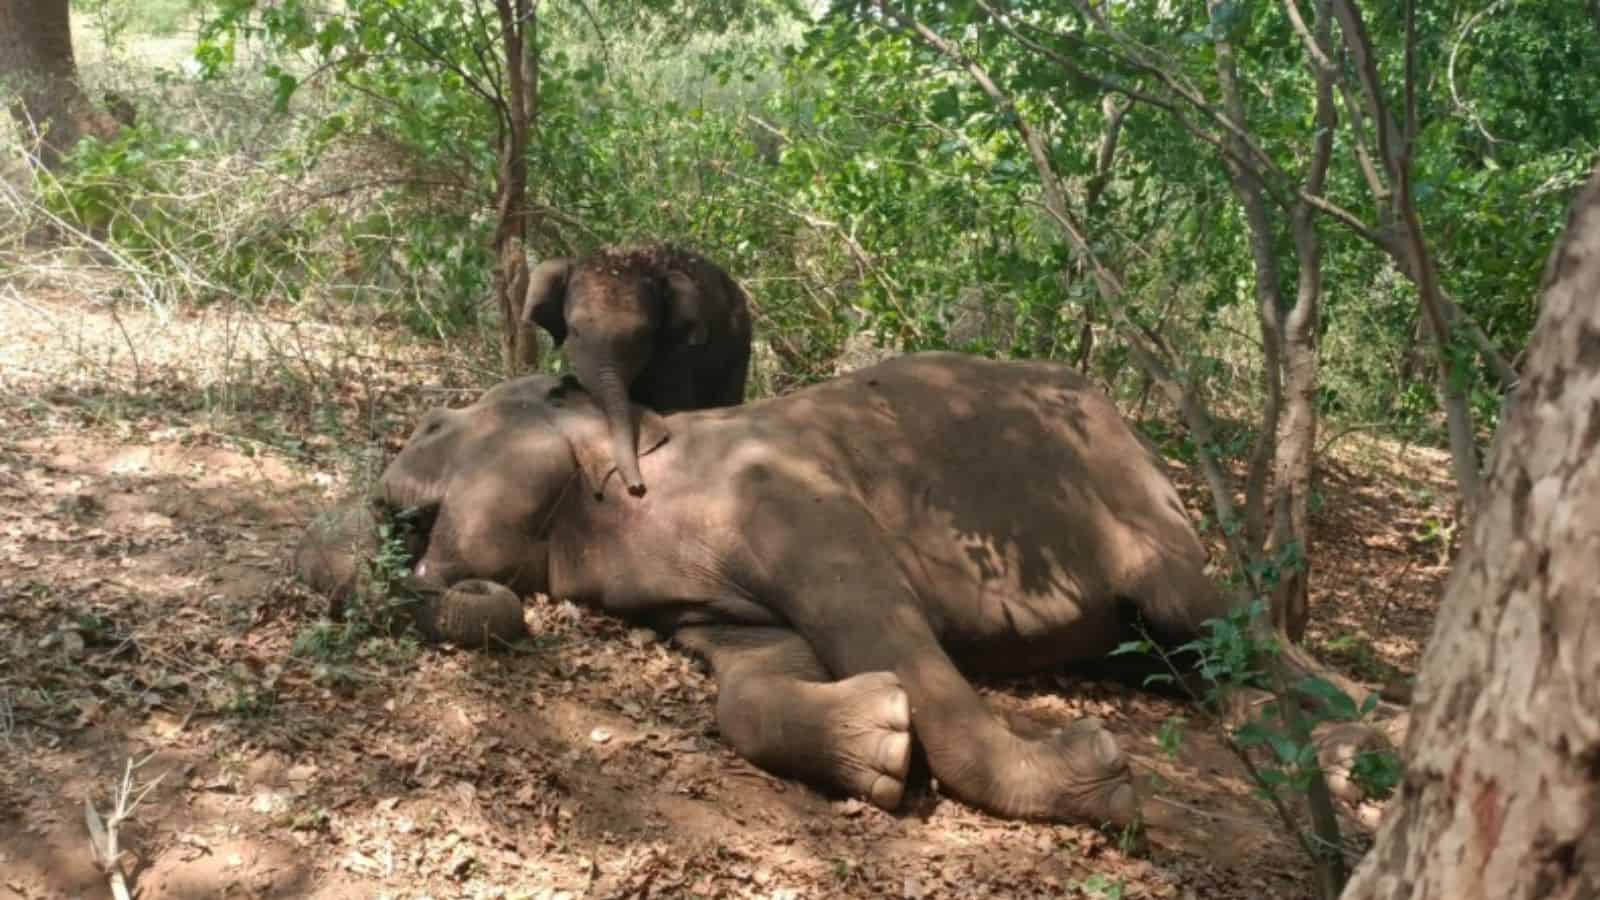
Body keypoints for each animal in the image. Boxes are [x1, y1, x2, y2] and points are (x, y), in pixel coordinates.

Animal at [372, 352, 1234, 826]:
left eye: (433, 427)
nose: (379, 509)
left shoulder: (794, 498)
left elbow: (883, 624)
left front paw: (1101, 774)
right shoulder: (702, 600)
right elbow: (754, 676)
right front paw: (880, 741)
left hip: (1135, 500)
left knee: (1201, 614)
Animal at [522, 243, 753, 497]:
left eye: (642, 336)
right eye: (574, 331)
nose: (637, 487)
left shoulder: (679, 352)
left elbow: (673, 402)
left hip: (739, 350)